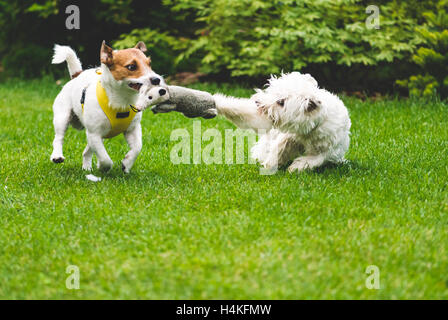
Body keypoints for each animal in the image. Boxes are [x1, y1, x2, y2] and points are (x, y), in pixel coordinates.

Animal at [50, 42, 163, 174]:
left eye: (149, 64)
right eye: (131, 67)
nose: (156, 79)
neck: (122, 101)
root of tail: (76, 75)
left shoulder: (132, 130)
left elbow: (137, 148)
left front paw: (127, 164)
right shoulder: (94, 134)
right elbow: (105, 158)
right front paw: (103, 167)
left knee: (86, 151)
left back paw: (87, 167)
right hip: (62, 117)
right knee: (59, 138)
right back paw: (57, 156)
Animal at [215, 72, 352, 172]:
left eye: (281, 102)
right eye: (271, 91)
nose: (258, 103)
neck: (309, 130)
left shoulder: (327, 151)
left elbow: (314, 159)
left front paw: (296, 167)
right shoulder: (286, 135)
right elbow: (279, 146)